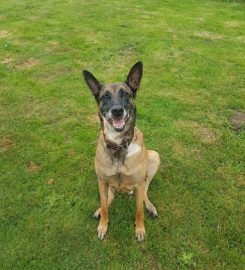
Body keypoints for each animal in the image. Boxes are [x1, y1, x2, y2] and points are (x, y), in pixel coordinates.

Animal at [82, 61, 160, 240]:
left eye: (125, 94)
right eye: (105, 97)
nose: (117, 111)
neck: (118, 145)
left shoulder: (138, 183)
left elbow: (139, 211)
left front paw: (140, 229)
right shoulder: (102, 181)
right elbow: (105, 206)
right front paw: (103, 224)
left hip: (154, 157)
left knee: (145, 191)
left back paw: (150, 207)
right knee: (107, 199)